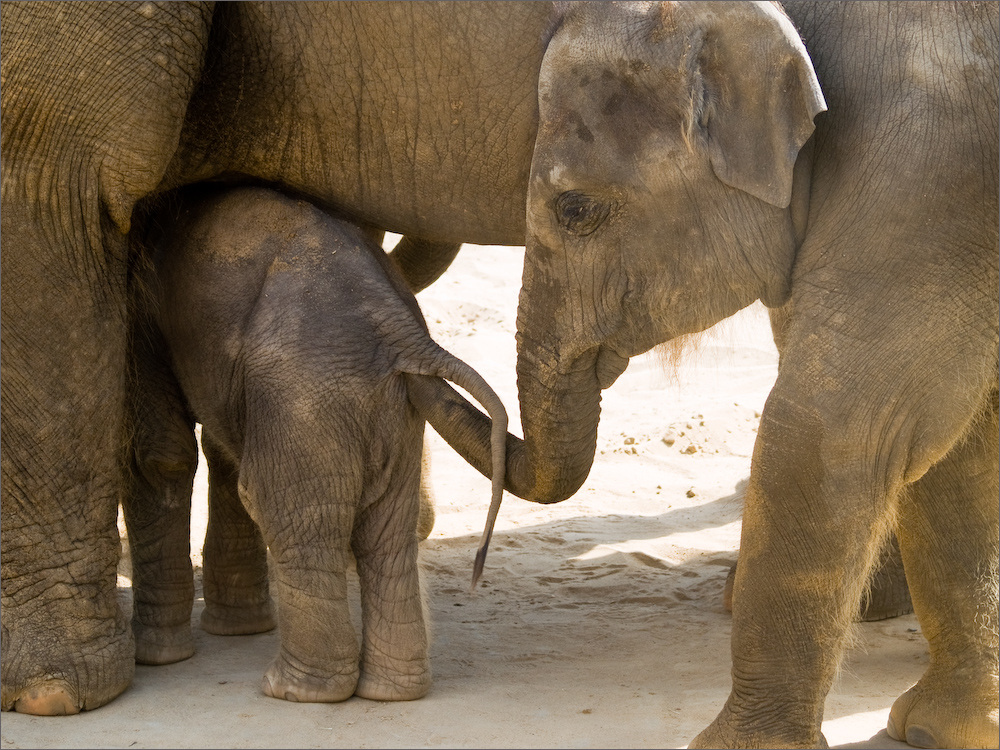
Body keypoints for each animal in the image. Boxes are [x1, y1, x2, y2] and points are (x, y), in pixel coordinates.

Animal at [125, 185, 508, 704]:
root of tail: (399, 331)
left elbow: (154, 453)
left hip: (306, 394)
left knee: (290, 512)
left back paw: (293, 690)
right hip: (387, 410)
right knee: (388, 536)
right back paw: (391, 692)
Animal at [432, 1, 1000, 750]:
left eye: (574, 208)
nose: (473, 574)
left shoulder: (930, 180)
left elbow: (831, 431)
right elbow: (953, 445)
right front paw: (950, 729)